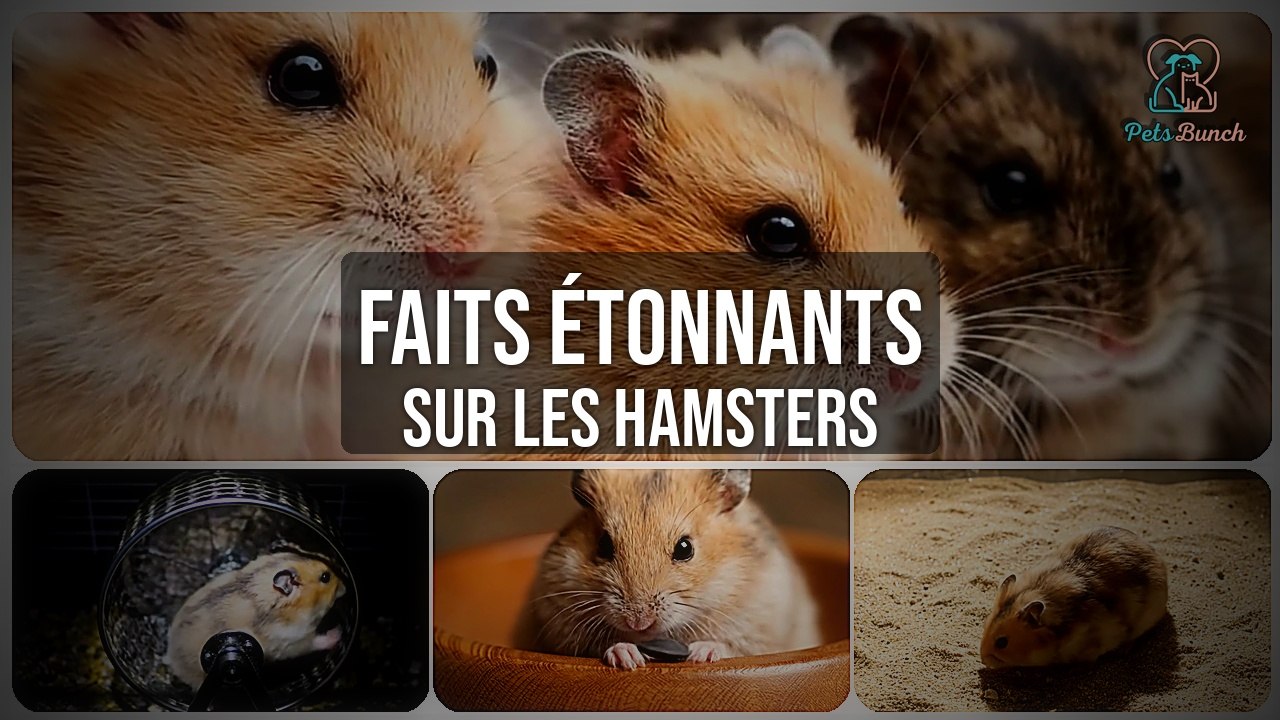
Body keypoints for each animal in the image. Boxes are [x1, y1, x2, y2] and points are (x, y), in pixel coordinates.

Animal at [165, 551, 348, 690]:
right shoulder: (292, 641)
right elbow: (315, 642)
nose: (345, 587)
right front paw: (338, 631)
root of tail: (171, 658)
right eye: (325, 577)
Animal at [515, 469, 821, 669]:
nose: (638, 623)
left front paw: (700, 654)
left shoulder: (762, 628)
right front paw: (629, 659)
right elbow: (602, 645)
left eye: (685, 548)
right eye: (603, 545)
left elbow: (731, 646)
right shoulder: (559, 625)